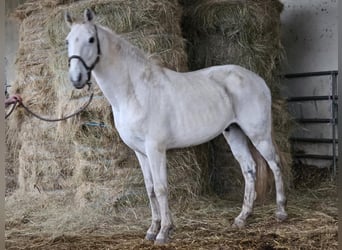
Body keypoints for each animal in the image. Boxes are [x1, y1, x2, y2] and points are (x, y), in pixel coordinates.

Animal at [65, 8, 288, 244]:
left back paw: (281, 212)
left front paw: (164, 232)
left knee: (275, 164)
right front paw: (152, 229)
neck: (135, 92)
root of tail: (258, 80)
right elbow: (150, 189)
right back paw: (242, 217)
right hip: (233, 132)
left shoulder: (155, 149)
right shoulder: (140, 152)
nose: (77, 78)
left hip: (259, 134)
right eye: (67, 41)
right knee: (249, 169)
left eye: (91, 39)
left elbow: (161, 188)